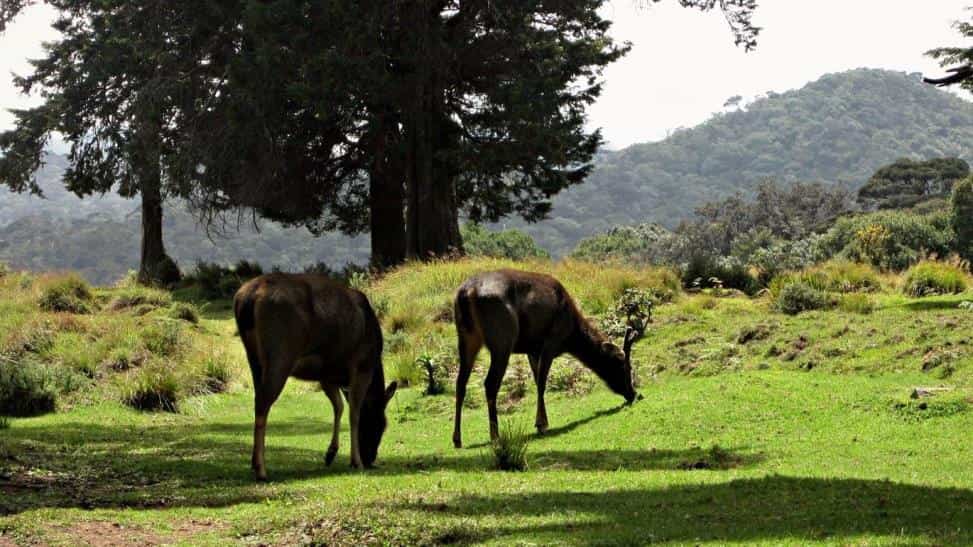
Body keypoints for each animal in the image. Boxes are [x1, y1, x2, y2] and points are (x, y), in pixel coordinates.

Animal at [234, 272, 396, 480]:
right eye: (381, 424)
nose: (370, 458)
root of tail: (246, 299)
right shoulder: (362, 365)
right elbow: (354, 412)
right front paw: (355, 461)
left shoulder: (327, 374)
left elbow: (339, 406)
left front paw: (330, 454)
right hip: (280, 353)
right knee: (263, 403)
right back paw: (261, 469)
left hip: (254, 358)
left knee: (258, 398)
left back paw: (255, 464)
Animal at [450, 270, 644, 450]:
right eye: (625, 367)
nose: (635, 394)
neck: (570, 337)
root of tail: (467, 292)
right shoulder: (551, 341)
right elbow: (542, 383)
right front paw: (541, 424)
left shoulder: (532, 349)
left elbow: (537, 381)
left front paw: (542, 422)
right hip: (502, 338)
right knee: (490, 383)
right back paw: (495, 437)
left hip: (466, 336)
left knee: (460, 383)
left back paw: (457, 439)